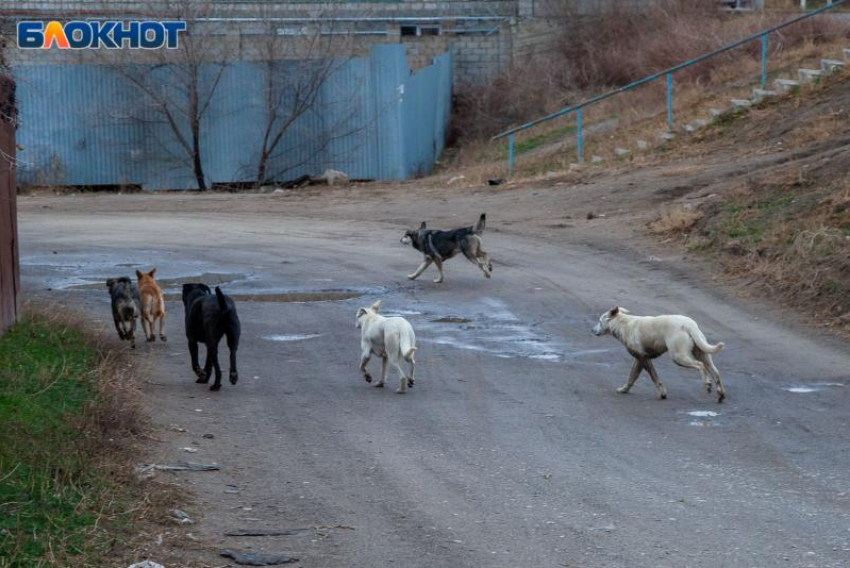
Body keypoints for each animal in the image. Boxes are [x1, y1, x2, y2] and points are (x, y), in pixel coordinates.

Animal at [588, 306, 724, 404]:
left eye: (599, 321)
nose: (592, 330)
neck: (623, 323)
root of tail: (688, 325)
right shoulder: (639, 360)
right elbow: (632, 376)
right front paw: (624, 389)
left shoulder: (643, 358)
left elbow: (654, 377)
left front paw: (662, 393)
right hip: (703, 354)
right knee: (716, 372)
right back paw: (721, 394)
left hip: (678, 356)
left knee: (700, 366)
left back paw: (707, 384)